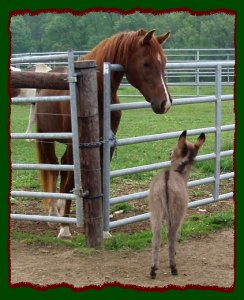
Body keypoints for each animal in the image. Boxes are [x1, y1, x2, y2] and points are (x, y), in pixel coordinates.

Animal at [36, 28, 173, 239]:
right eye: (146, 63)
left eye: (164, 62)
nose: (165, 103)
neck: (97, 92)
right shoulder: (76, 144)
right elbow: (70, 181)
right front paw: (65, 229)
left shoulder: (106, 143)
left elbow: (100, 182)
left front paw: (103, 230)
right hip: (48, 140)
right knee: (53, 169)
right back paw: (55, 215)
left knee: (61, 168)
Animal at [149, 131, 206, 278]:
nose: (169, 153)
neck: (179, 172)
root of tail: (167, 179)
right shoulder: (181, 214)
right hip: (176, 211)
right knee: (171, 234)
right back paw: (173, 267)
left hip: (156, 210)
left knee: (157, 235)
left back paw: (153, 269)